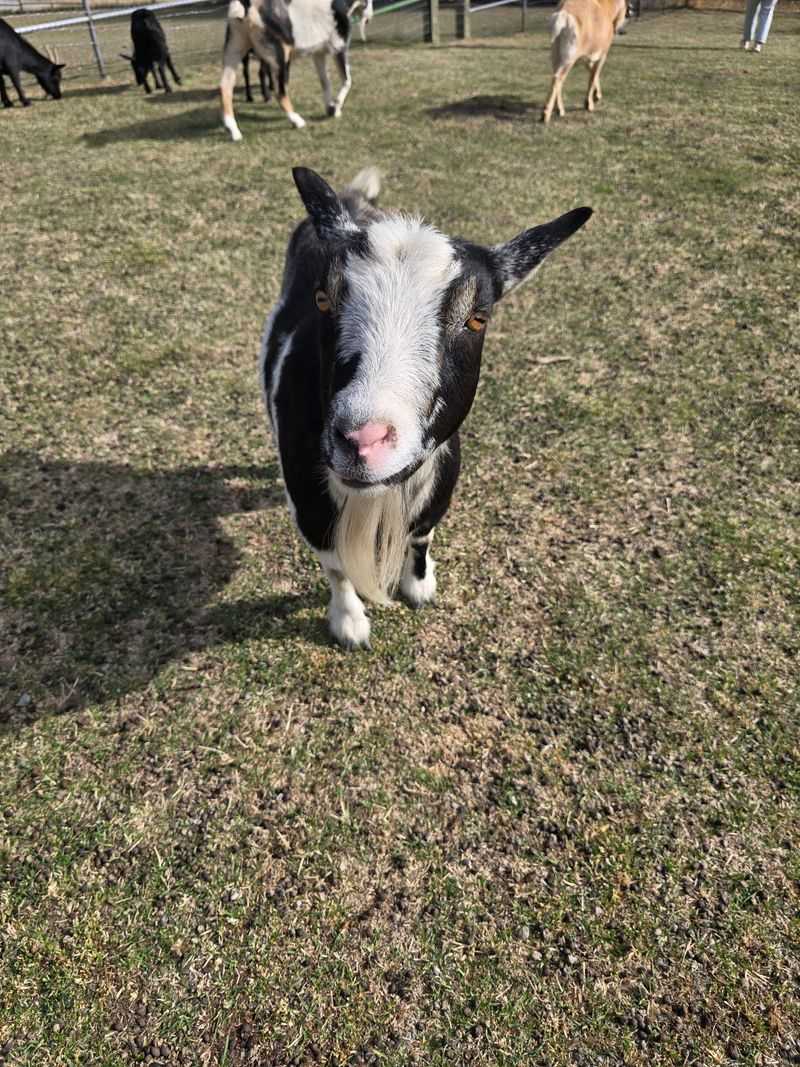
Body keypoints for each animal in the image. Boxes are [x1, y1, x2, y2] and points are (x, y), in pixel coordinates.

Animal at [220, 0, 356, 141]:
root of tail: (246, 5)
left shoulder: (318, 53)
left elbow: (325, 83)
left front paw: (330, 107)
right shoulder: (339, 46)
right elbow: (347, 81)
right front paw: (336, 108)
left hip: (235, 50)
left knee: (225, 86)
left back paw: (233, 129)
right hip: (281, 57)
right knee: (279, 92)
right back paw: (296, 120)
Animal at [260, 167, 592, 649]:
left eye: (478, 318)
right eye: (323, 299)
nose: (362, 440)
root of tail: (354, 200)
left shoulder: (440, 483)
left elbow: (421, 537)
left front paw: (418, 587)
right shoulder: (309, 503)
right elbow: (336, 566)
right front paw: (349, 624)